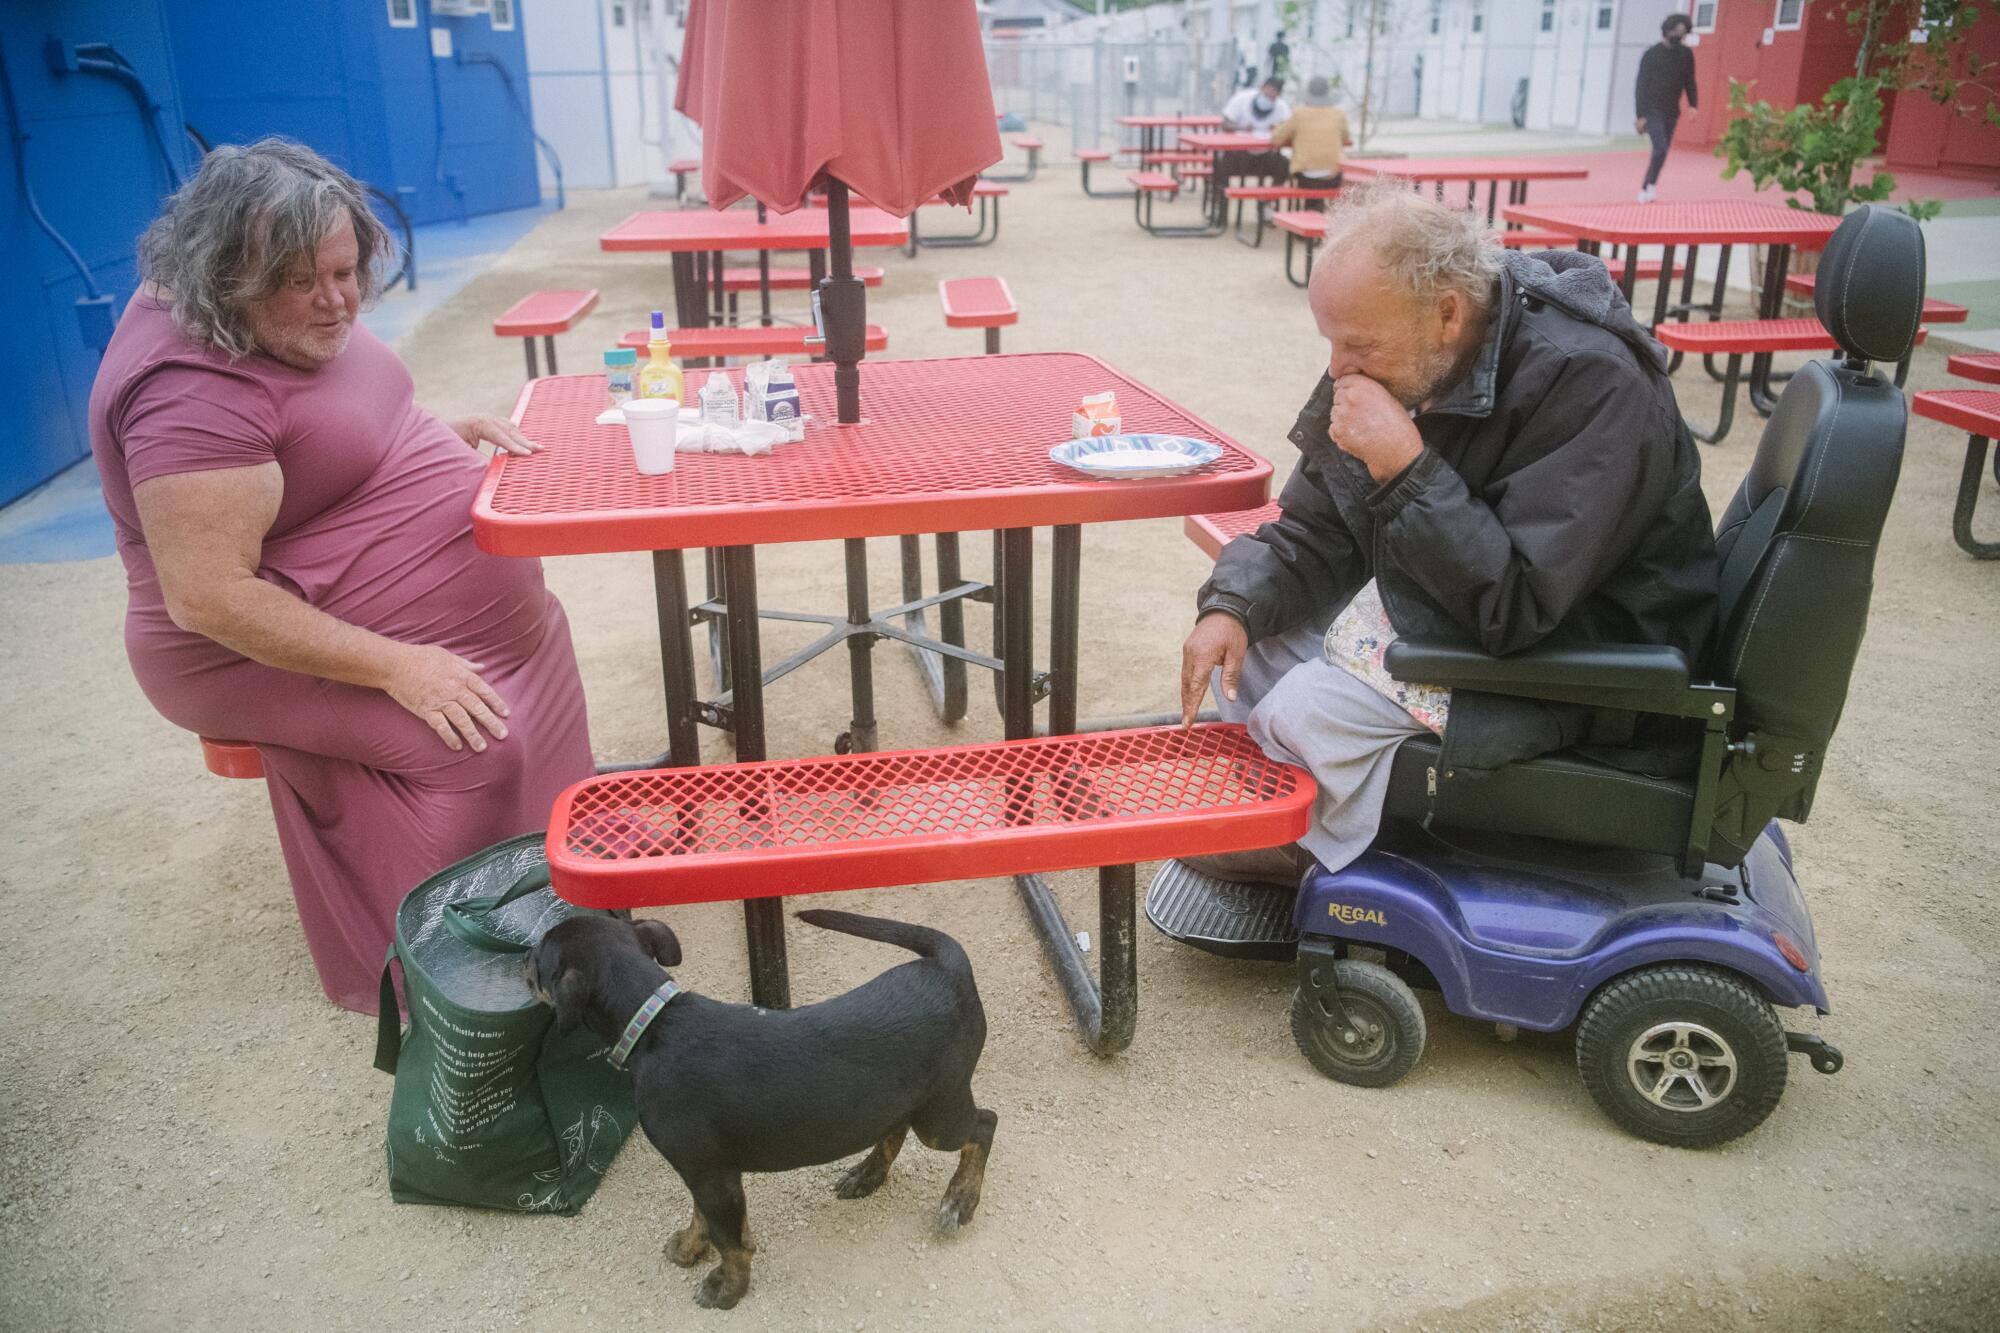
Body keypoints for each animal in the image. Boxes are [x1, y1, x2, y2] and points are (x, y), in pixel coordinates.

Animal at [528, 908, 996, 1304]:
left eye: (537, 961)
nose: (519, 963)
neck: (654, 1025)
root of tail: (949, 965)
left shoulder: (710, 1174)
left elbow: (731, 1242)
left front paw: (726, 1289)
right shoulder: (706, 1172)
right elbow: (705, 1221)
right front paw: (689, 1247)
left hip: (940, 1114)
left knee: (985, 1126)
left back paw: (959, 1201)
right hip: (899, 1099)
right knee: (895, 1129)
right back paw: (867, 1175)